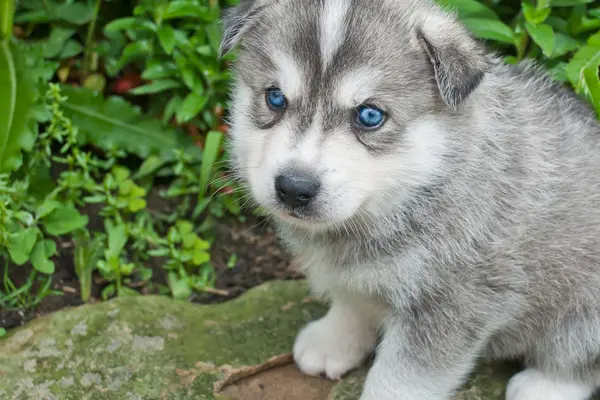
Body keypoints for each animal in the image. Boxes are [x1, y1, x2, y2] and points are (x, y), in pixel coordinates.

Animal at [218, 0, 600, 398]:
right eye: (275, 97)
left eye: (370, 115)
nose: (293, 187)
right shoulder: (357, 277)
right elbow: (351, 302)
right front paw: (333, 341)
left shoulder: (450, 303)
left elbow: (399, 379)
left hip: (584, 313)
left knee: (575, 357)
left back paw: (543, 386)